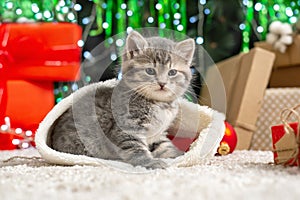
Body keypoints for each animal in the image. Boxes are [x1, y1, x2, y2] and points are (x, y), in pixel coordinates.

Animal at [50, 31, 196, 169]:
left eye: (172, 72)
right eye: (150, 71)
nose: (162, 83)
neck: (159, 104)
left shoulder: (158, 133)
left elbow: (164, 145)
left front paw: (180, 155)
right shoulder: (127, 127)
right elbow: (136, 149)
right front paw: (150, 162)